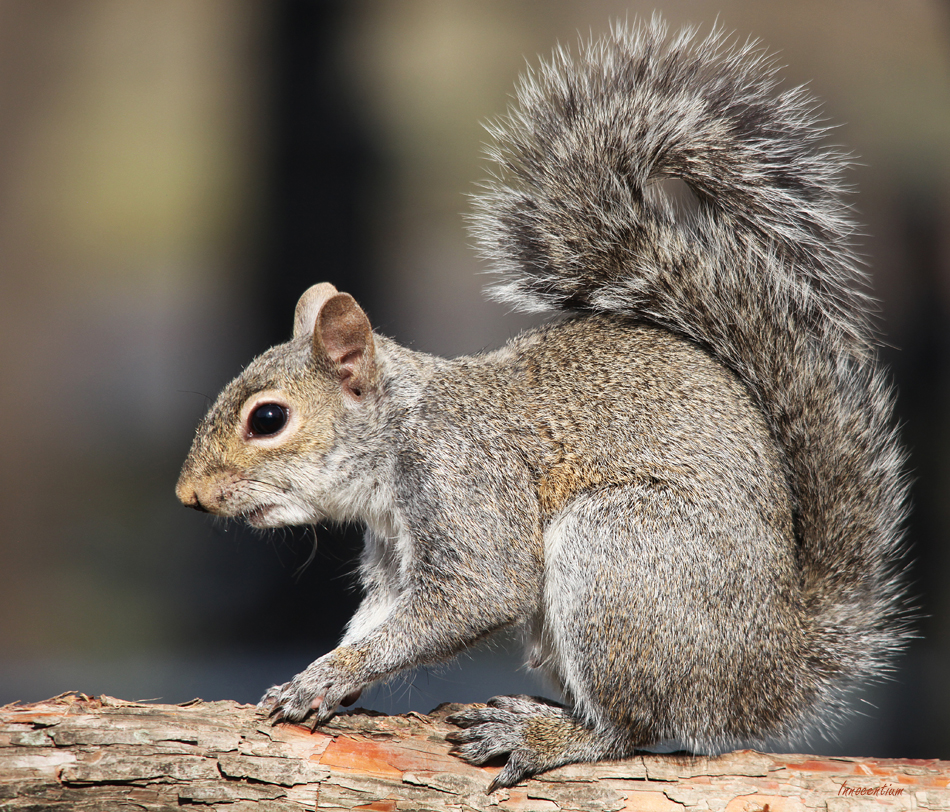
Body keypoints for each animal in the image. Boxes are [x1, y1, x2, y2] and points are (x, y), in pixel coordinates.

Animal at [178, 20, 916, 792]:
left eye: (268, 419)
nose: (188, 495)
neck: (401, 429)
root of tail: (769, 672)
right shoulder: (394, 553)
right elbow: (381, 616)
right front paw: (322, 677)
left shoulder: (466, 476)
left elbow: (482, 591)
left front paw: (329, 676)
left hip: (620, 556)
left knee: (633, 729)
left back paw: (543, 735)